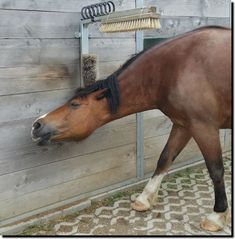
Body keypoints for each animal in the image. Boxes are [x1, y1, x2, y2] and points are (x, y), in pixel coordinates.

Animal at [31, 26, 231, 232]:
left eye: (75, 104)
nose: (37, 124)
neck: (178, 68)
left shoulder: (203, 127)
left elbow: (215, 169)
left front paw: (217, 215)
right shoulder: (183, 125)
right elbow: (165, 159)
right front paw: (144, 199)